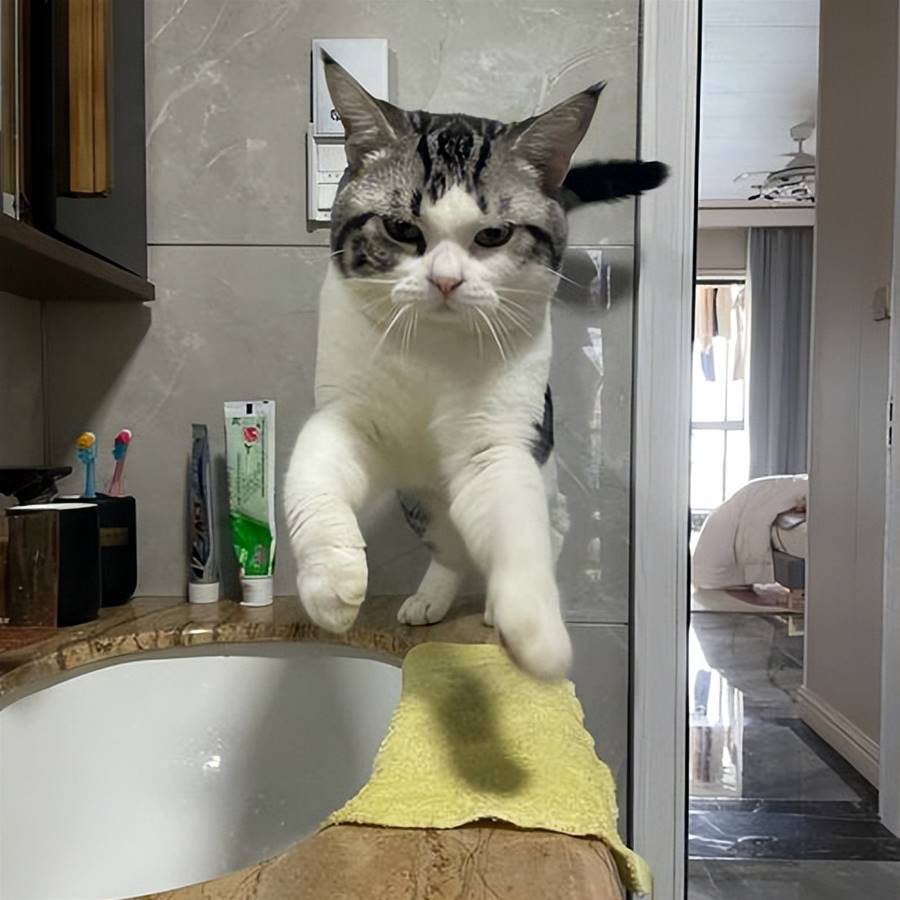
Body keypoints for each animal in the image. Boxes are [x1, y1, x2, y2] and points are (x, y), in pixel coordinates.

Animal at [284, 53, 667, 680]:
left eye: (493, 235)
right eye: (401, 228)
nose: (445, 280)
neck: (432, 353)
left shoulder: (498, 442)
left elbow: (516, 531)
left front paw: (534, 626)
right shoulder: (346, 415)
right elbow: (312, 483)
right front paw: (330, 582)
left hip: (539, 452)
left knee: (552, 520)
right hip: (419, 498)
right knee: (450, 545)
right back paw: (432, 595)